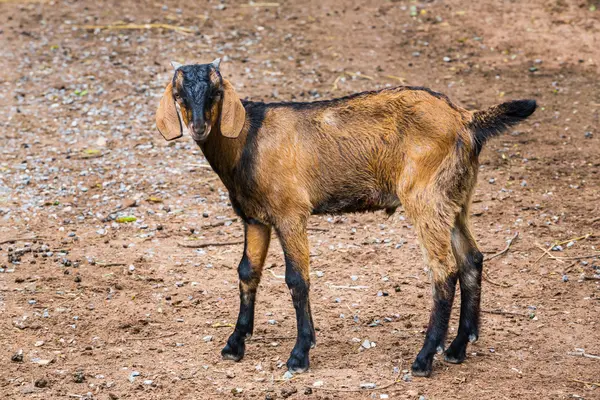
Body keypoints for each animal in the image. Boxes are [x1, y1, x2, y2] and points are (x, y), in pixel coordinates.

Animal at [156, 59, 540, 378]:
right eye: (179, 93)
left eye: (216, 92)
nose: (199, 127)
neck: (248, 140)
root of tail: (466, 120)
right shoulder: (255, 218)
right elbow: (247, 273)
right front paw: (235, 344)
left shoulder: (291, 212)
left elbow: (297, 279)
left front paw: (299, 354)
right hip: (455, 198)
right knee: (471, 259)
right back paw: (458, 348)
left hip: (425, 197)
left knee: (444, 271)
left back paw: (424, 359)